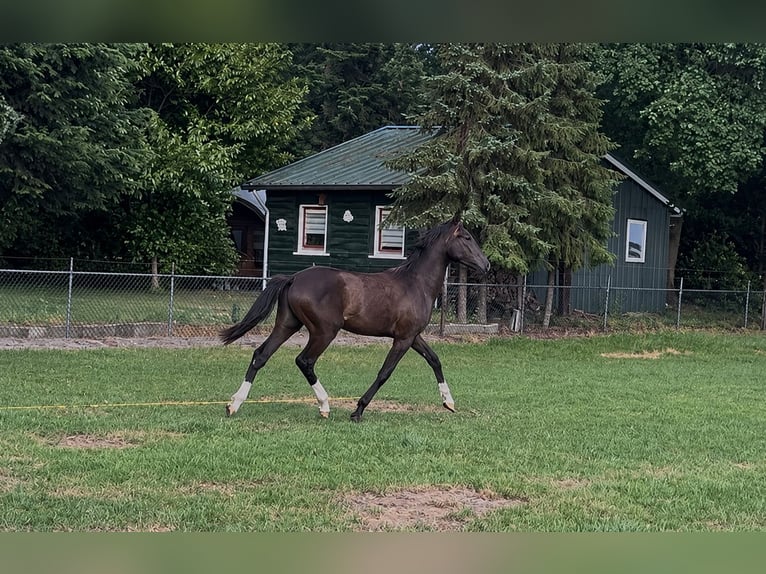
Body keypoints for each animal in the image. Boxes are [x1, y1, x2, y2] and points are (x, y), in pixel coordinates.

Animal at [220, 215, 490, 422]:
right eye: (467, 238)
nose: (486, 264)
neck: (415, 283)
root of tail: (293, 278)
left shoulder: (413, 336)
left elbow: (435, 360)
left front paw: (449, 402)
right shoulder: (403, 339)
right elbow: (385, 372)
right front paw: (358, 410)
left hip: (287, 325)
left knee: (261, 355)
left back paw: (234, 404)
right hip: (324, 331)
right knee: (304, 361)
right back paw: (325, 406)